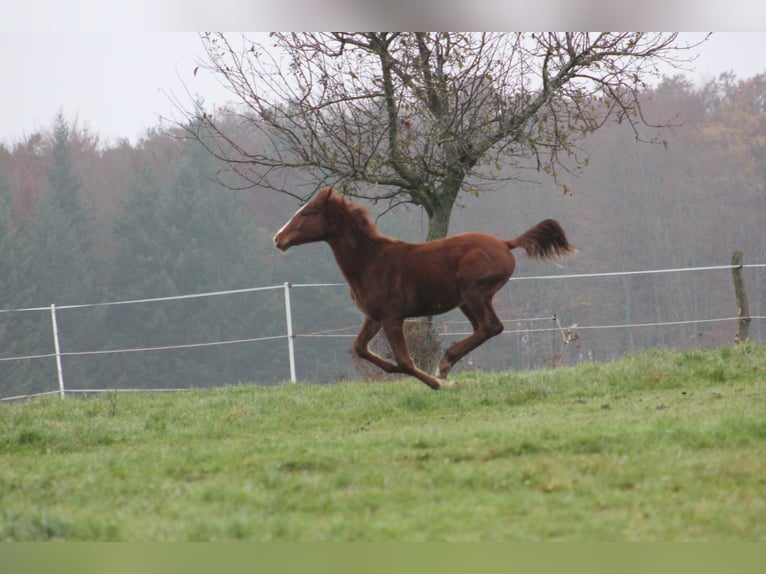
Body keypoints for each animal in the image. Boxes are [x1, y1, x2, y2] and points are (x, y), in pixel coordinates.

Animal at [274, 187, 576, 390]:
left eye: (308, 212)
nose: (279, 239)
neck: (370, 260)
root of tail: (505, 243)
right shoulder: (374, 316)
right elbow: (361, 348)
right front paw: (397, 370)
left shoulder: (392, 316)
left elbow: (405, 361)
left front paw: (438, 384)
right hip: (466, 299)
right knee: (483, 327)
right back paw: (447, 365)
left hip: (474, 291)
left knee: (492, 326)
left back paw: (444, 366)